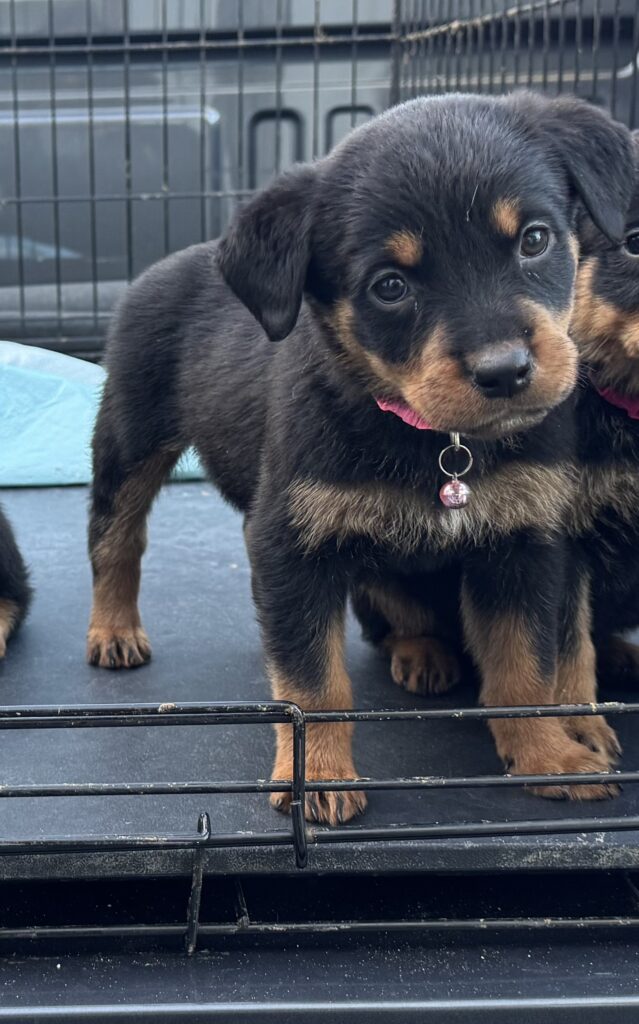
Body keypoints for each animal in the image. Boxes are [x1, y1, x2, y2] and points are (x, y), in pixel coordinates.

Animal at [87, 92, 634, 823]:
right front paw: (317, 778)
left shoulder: (523, 542)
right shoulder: (294, 546)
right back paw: (113, 629)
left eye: (535, 239)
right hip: (131, 434)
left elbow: (526, 667)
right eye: (389, 286)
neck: (438, 442)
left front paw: (547, 757)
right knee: (115, 536)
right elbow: (314, 686)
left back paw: (425, 652)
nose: (505, 372)